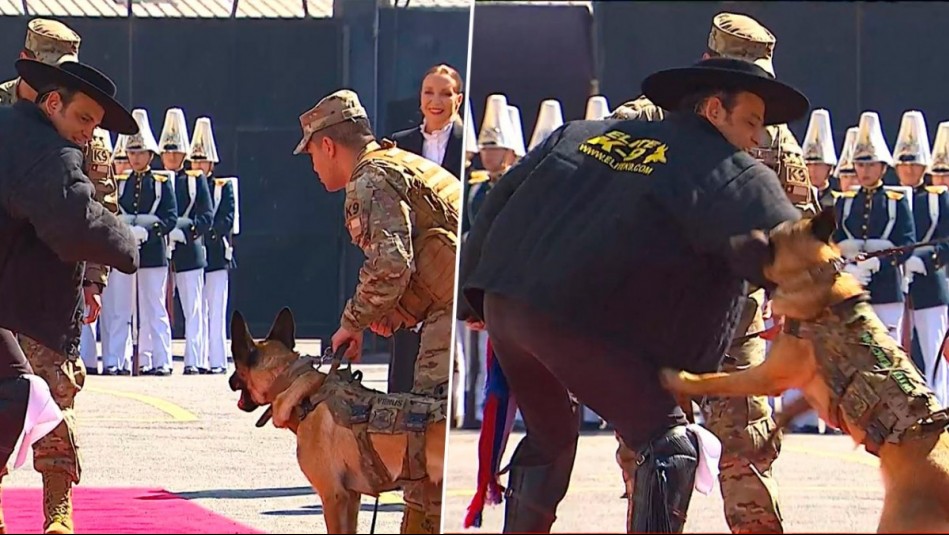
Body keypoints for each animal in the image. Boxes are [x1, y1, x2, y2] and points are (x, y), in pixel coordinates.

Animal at [660, 207, 948, 532]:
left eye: (769, 241)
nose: (733, 238)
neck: (815, 276)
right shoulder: (805, 391)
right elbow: (790, 408)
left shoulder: (766, 375)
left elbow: (718, 379)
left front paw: (680, 378)